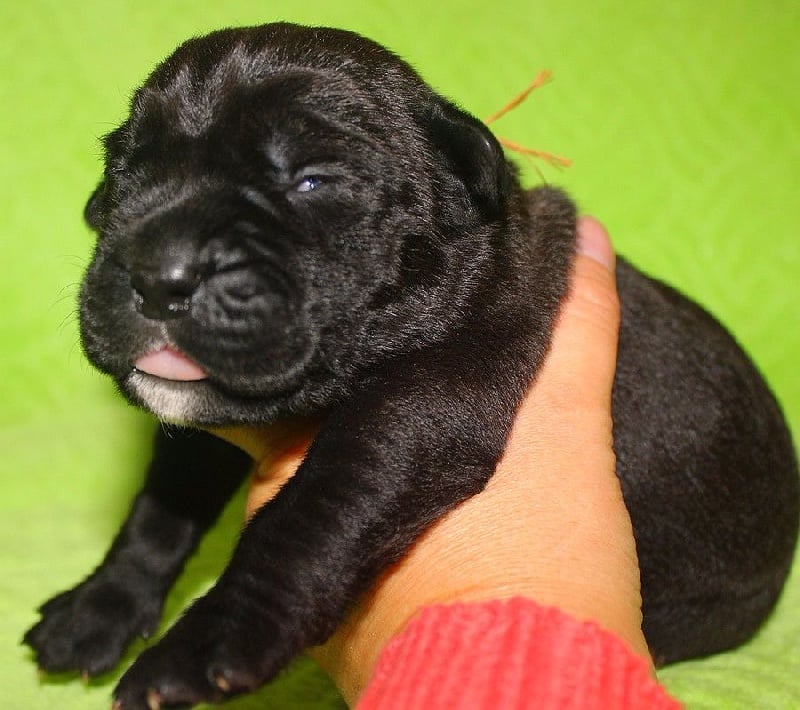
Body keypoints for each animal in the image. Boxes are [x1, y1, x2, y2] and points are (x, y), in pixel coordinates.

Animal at [24, 23, 799, 709]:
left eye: (312, 183)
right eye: (127, 175)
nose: (159, 273)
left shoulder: (421, 408)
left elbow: (307, 515)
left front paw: (204, 643)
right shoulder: (200, 429)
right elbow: (159, 508)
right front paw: (99, 606)